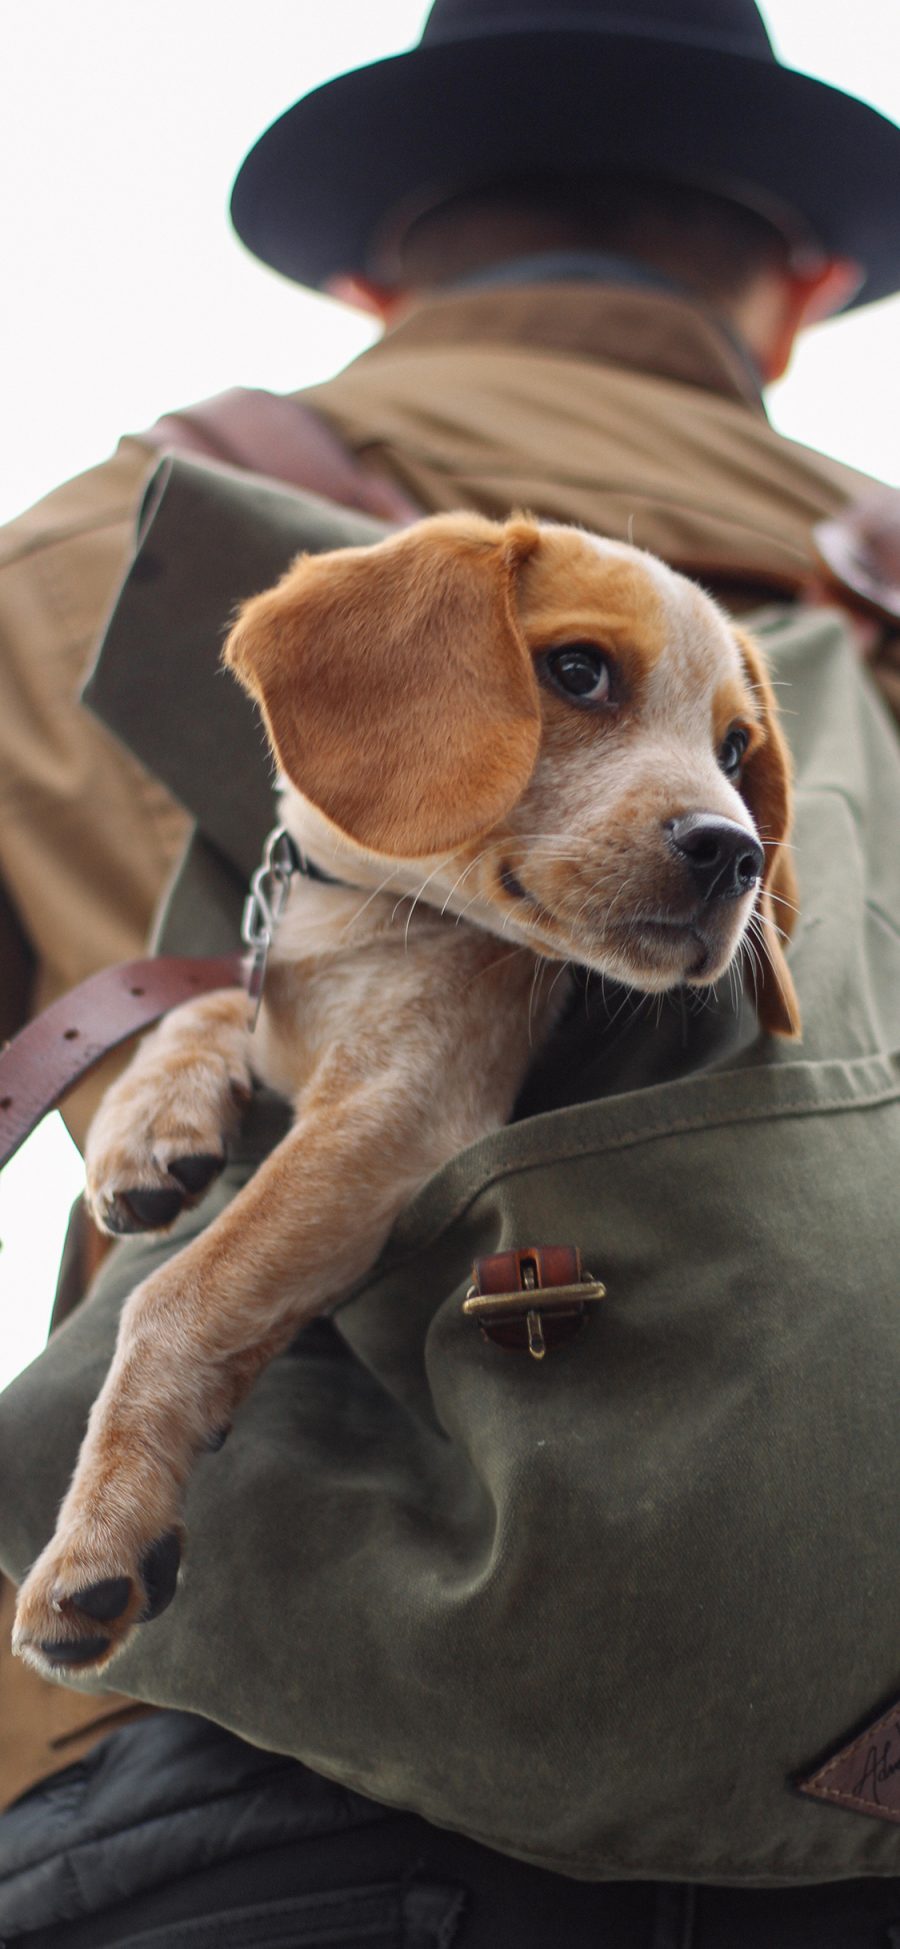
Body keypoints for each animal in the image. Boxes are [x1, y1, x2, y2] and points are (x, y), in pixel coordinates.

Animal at [14, 518, 798, 1676]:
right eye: (578, 670)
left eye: (737, 749)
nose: (736, 851)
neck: (359, 918)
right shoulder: (290, 1026)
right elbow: (209, 1002)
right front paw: (148, 1123)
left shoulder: (391, 1112)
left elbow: (174, 1299)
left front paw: (100, 1525)